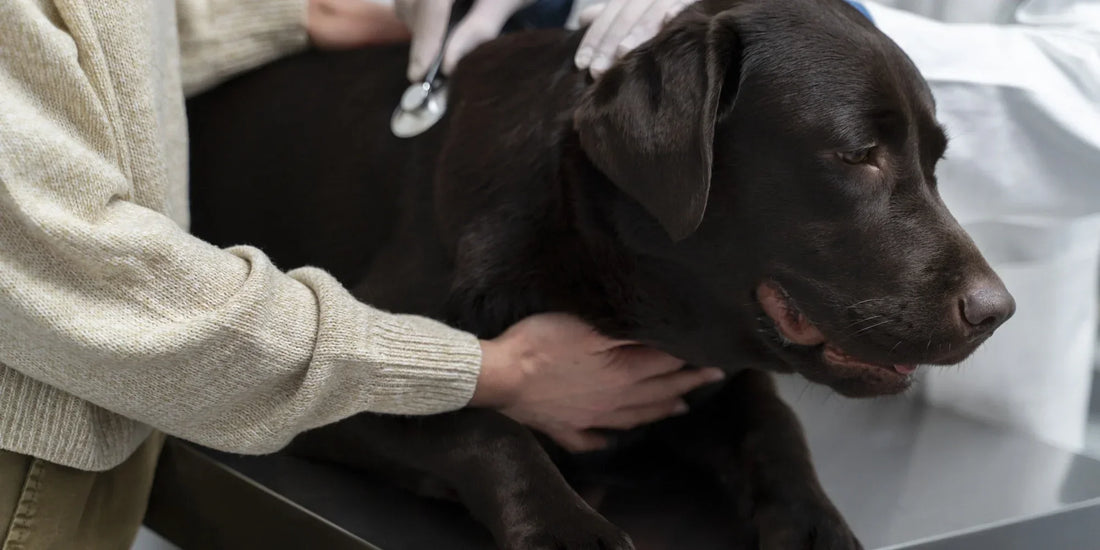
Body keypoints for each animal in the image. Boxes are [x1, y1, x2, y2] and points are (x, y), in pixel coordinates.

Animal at [187, 2, 1012, 547]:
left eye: (936, 161)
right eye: (856, 155)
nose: (998, 312)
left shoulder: (723, 376)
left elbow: (777, 431)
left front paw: (817, 528)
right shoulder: (350, 371)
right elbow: (483, 426)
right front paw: (571, 531)